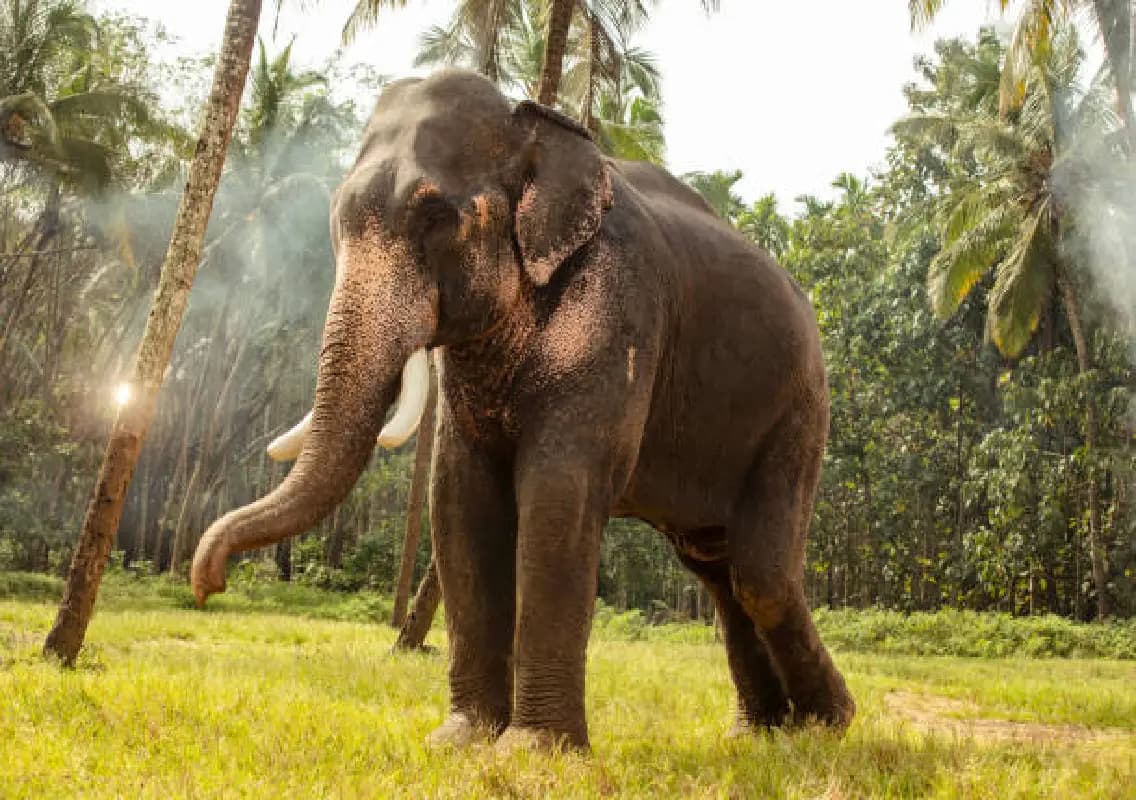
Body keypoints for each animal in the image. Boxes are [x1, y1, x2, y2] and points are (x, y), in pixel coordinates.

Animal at [191, 68, 855, 751]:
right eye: (337, 219)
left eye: (435, 216)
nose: (207, 581)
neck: (533, 126)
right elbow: (458, 496)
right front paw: (460, 741)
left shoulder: (618, 308)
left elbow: (560, 490)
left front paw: (533, 751)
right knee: (715, 569)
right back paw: (760, 735)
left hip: (801, 412)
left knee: (760, 576)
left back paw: (826, 726)